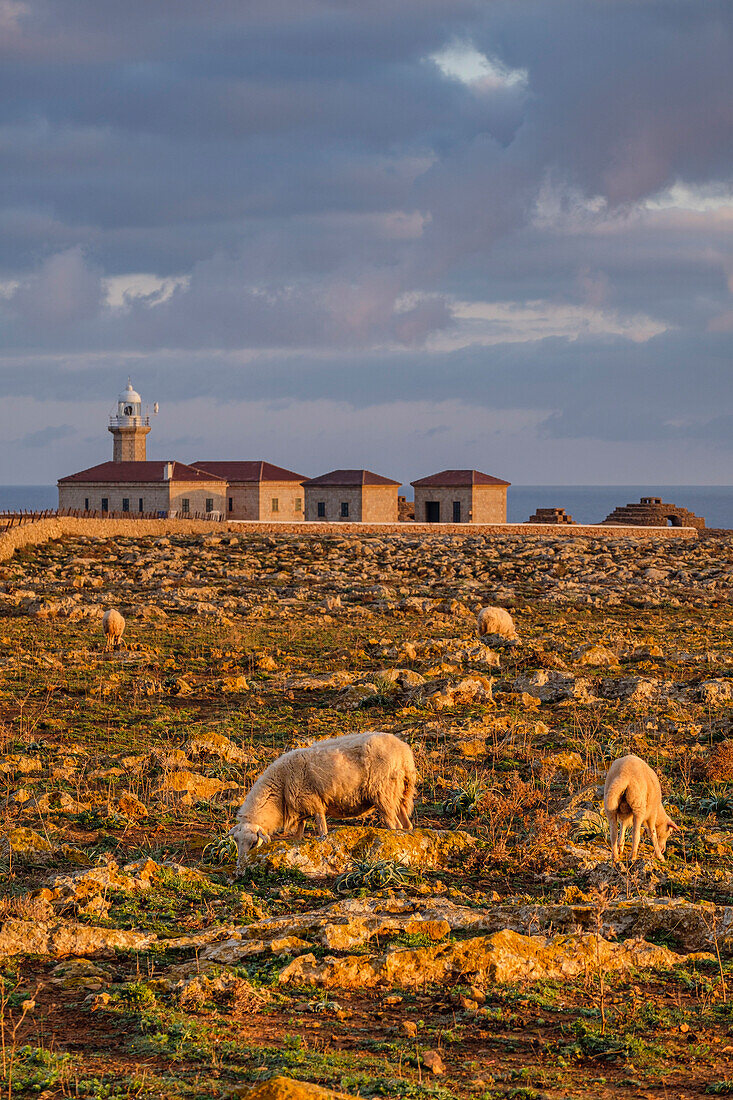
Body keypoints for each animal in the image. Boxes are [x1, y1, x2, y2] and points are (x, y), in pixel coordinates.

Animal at [225, 730, 413, 875]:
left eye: (253, 843)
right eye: (236, 841)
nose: (239, 869)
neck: (279, 788)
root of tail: (404, 753)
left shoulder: (314, 803)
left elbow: (322, 831)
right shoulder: (301, 811)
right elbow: (298, 836)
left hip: (384, 793)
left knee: (395, 826)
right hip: (400, 794)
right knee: (406, 826)